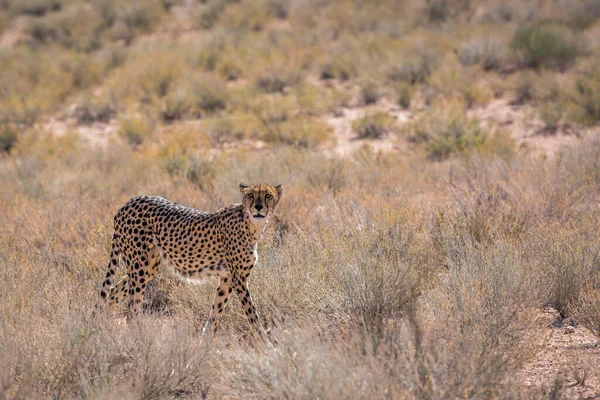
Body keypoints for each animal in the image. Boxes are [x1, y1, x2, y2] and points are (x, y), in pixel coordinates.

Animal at [99, 183, 284, 336]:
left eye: (268, 195)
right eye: (251, 195)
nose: (258, 207)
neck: (252, 225)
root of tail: (128, 203)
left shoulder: (227, 278)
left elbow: (216, 310)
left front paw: (206, 342)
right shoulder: (238, 279)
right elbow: (252, 314)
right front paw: (266, 343)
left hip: (147, 266)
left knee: (113, 292)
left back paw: (106, 329)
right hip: (139, 266)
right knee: (132, 307)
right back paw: (137, 337)